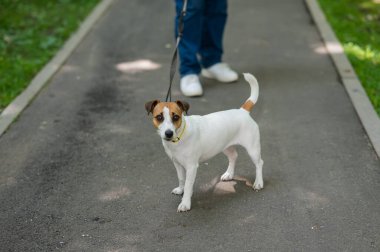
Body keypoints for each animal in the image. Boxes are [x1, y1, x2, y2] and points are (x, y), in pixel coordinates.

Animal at [145, 73, 264, 213]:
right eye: (159, 117)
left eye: (175, 117)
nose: (168, 133)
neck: (179, 138)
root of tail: (243, 111)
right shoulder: (177, 164)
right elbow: (181, 179)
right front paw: (181, 189)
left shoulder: (191, 167)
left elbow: (188, 185)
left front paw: (185, 202)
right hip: (225, 146)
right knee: (234, 156)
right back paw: (229, 174)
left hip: (252, 149)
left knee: (259, 163)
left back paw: (258, 183)